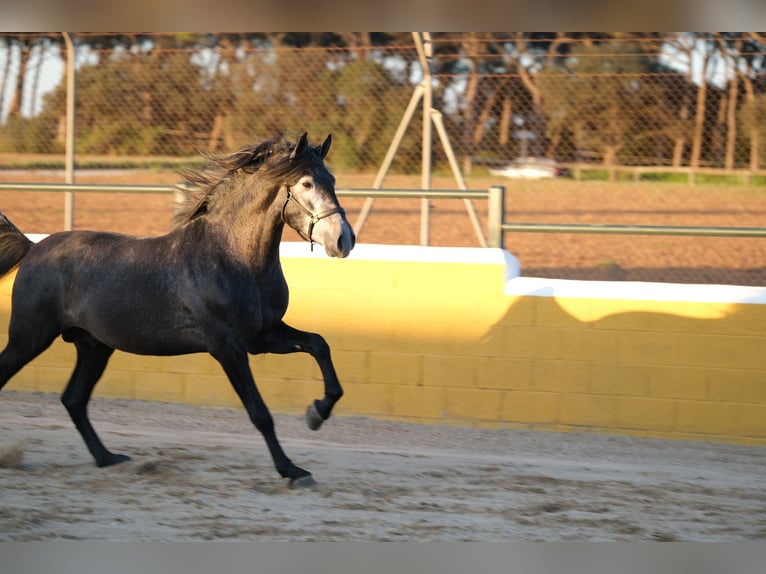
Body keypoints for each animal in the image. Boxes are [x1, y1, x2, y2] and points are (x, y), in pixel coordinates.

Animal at [0, 133, 356, 488]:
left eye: (332, 180)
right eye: (307, 183)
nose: (344, 240)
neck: (231, 256)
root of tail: (33, 248)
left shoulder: (262, 336)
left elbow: (318, 344)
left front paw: (316, 413)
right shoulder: (228, 347)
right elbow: (260, 413)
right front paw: (292, 470)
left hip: (94, 346)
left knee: (73, 399)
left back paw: (109, 458)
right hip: (29, 339)